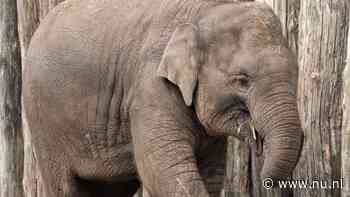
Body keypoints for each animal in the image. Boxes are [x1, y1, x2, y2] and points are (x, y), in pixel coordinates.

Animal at [23, 0, 304, 196]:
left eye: (295, 73)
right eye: (242, 80)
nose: (264, 178)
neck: (204, 10)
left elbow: (211, 174)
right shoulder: (150, 88)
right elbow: (167, 172)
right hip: (44, 124)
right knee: (65, 186)